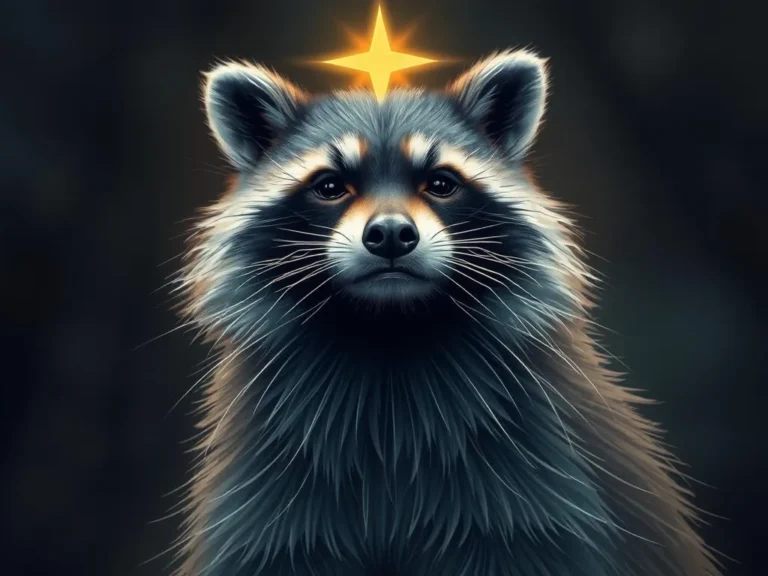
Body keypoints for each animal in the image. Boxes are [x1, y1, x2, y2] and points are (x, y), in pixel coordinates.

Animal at [171, 49, 720, 575]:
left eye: (440, 183)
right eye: (330, 186)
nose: (391, 235)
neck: (390, 330)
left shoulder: (535, 463)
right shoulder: (274, 471)